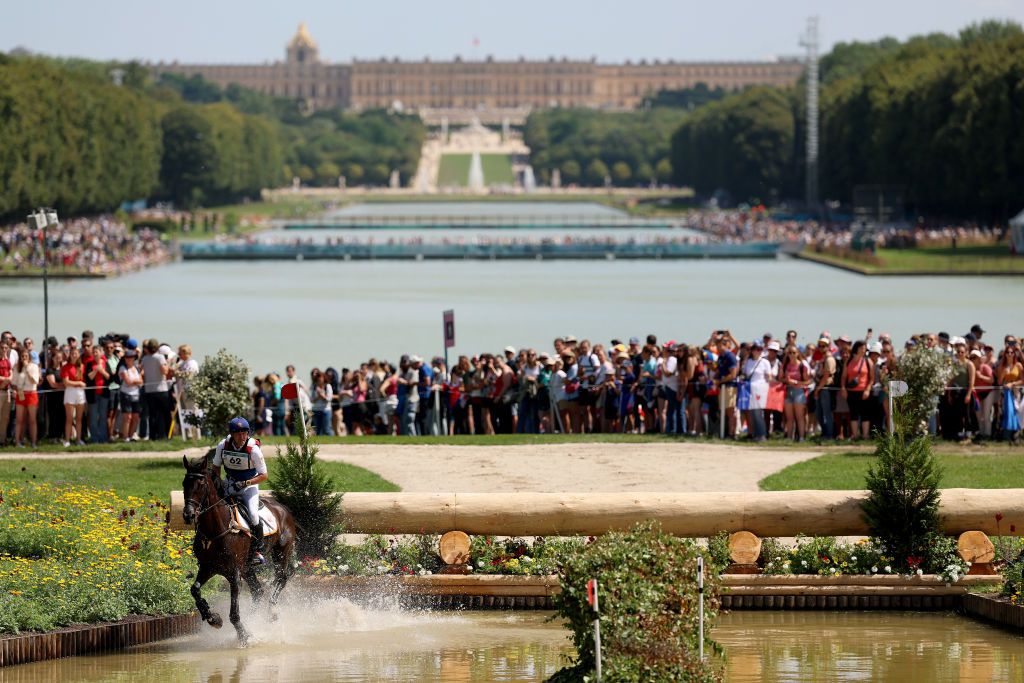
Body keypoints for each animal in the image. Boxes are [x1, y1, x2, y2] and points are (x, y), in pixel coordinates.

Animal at [181, 454, 296, 647]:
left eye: (201, 484)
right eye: (184, 484)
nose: (188, 514)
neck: (215, 530)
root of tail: (283, 508)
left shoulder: (234, 573)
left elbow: (234, 613)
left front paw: (244, 635)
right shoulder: (207, 568)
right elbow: (194, 590)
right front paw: (213, 618)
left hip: (281, 552)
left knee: (282, 576)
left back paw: (271, 611)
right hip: (247, 567)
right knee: (257, 591)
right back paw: (253, 618)